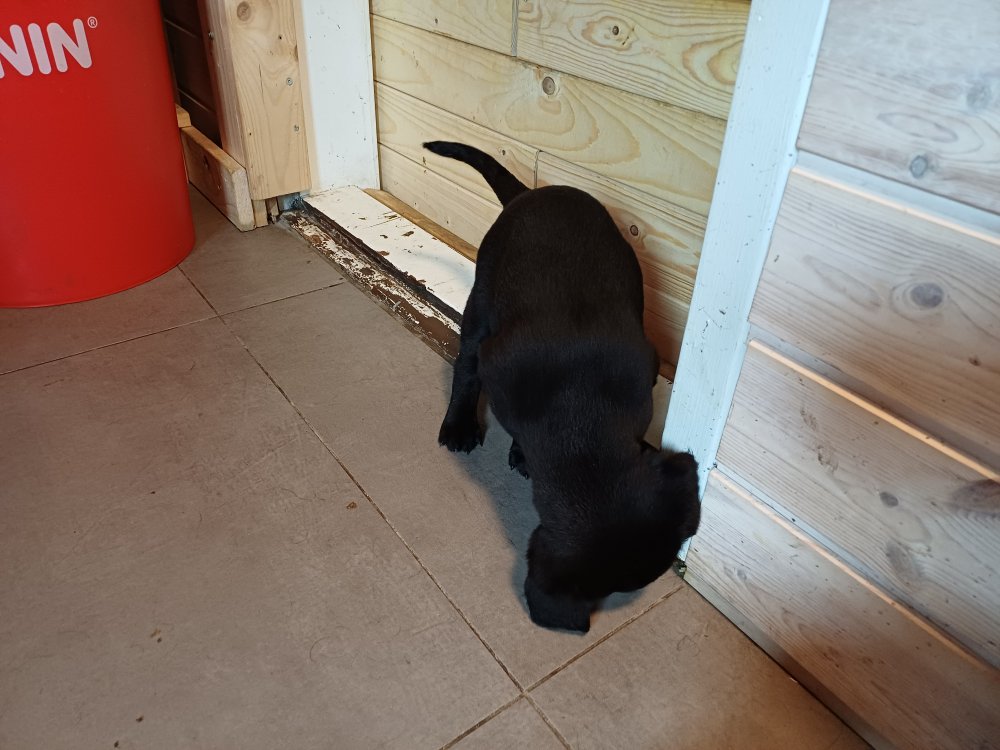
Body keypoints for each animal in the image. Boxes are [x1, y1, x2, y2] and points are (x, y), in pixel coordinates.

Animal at [426, 141, 701, 633]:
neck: (581, 420)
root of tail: (527, 193)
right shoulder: (495, 363)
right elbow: (472, 374)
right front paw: (509, 446)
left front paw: (521, 453)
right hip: (483, 293)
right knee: (466, 359)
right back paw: (459, 425)